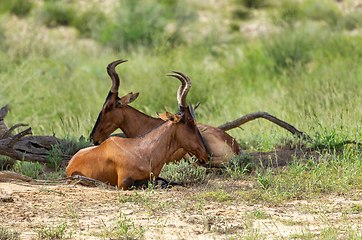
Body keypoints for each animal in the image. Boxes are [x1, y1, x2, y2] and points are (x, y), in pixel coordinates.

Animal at [66, 72, 208, 188]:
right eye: (191, 121)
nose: (206, 157)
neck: (143, 151)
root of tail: (69, 164)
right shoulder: (124, 183)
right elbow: (159, 183)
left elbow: (169, 181)